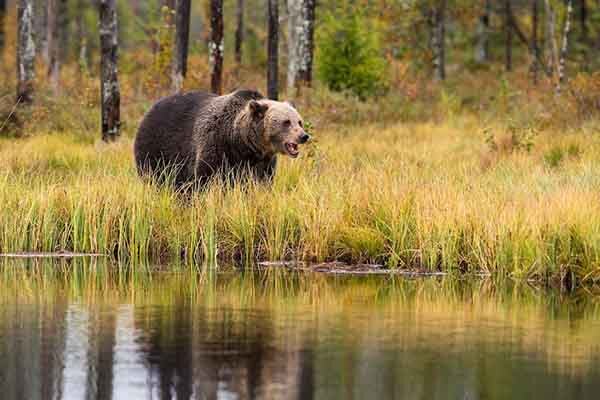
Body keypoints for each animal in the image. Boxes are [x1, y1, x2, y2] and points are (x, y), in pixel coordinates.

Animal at [134, 90, 312, 187]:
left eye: (299, 121)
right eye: (286, 122)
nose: (303, 136)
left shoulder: (262, 162)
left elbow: (261, 181)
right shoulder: (216, 144)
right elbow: (203, 177)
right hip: (157, 148)